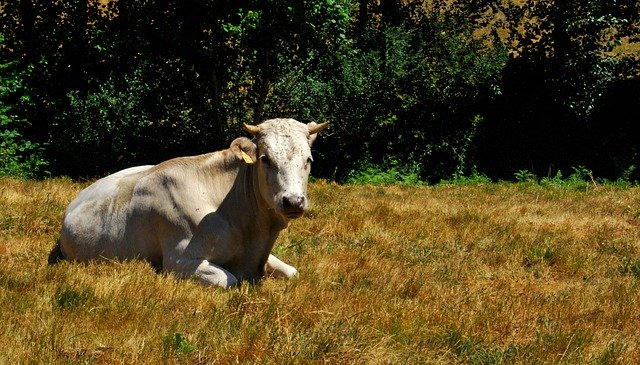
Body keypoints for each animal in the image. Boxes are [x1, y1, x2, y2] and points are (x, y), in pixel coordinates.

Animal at [49, 118, 328, 288]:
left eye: (308, 160)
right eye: (265, 159)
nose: (293, 200)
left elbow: (292, 272)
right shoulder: (178, 262)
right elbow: (230, 280)